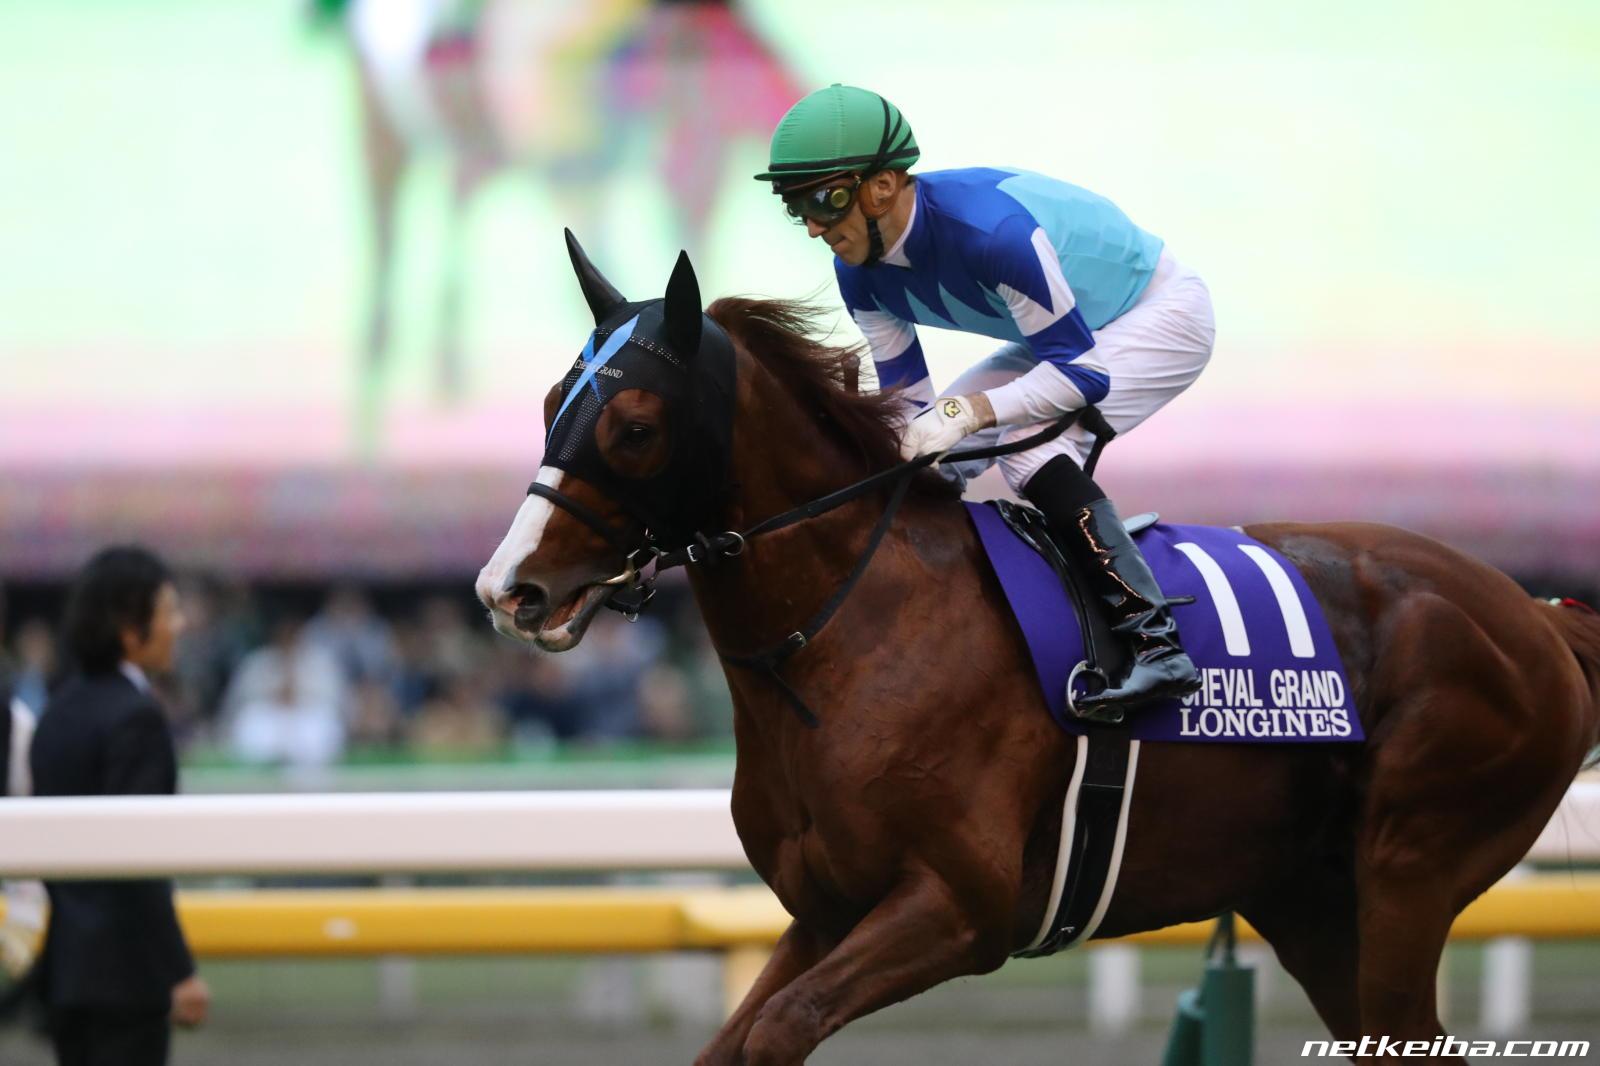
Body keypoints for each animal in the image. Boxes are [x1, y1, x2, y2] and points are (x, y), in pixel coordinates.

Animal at [475, 239, 1600, 1065]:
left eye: (633, 424)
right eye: (550, 404)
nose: (509, 588)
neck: (848, 633)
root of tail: (1531, 612)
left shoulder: (958, 909)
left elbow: (779, 1031)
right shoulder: (826, 910)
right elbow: (736, 1042)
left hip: (1410, 863)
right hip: (1314, 902)